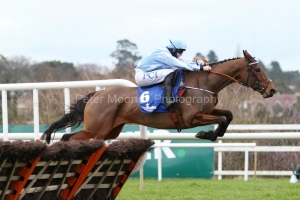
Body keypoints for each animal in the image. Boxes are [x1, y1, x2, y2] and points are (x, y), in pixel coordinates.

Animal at [41, 50, 276, 144]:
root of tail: (96, 94)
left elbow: (228, 115)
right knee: (66, 138)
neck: (204, 84)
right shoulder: (192, 118)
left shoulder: (208, 111)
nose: (271, 90)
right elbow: (220, 119)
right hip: (96, 129)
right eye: (257, 70)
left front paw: (211, 134)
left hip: (108, 132)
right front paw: (207, 134)